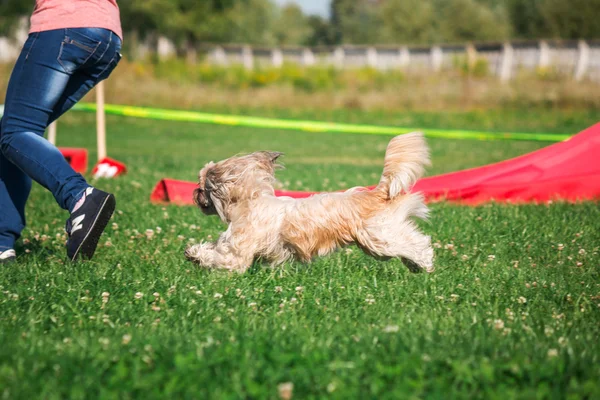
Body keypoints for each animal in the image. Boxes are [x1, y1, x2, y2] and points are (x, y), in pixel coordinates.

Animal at [185, 133, 434, 274]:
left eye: (202, 184)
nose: (195, 193)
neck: (249, 201)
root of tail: (375, 193)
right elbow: (215, 247)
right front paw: (195, 251)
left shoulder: (238, 251)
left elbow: (225, 259)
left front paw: (196, 255)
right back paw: (415, 265)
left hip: (378, 237)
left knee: (416, 242)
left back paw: (425, 262)